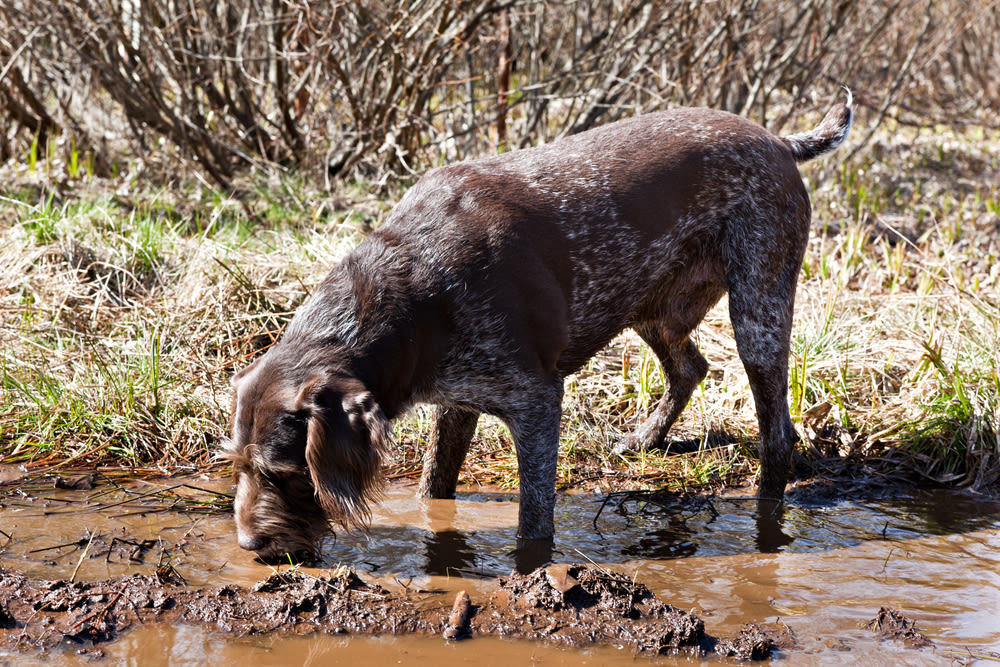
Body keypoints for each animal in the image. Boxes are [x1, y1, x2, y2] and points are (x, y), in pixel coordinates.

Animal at [225, 94, 852, 564]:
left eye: (284, 472)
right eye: (237, 466)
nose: (249, 545)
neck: (409, 294)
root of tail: (778, 141)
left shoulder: (535, 401)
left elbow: (533, 519)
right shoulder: (458, 402)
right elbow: (435, 489)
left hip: (759, 309)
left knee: (777, 433)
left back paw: (767, 521)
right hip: (651, 308)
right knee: (691, 367)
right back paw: (645, 439)